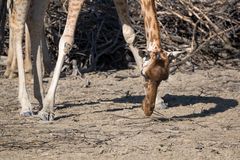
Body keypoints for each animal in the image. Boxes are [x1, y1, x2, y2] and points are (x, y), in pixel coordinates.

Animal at [11, 0, 169, 120]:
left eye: (163, 78)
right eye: (145, 75)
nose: (148, 109)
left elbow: (129, 35)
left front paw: (159, 100)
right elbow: (66, 41)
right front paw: (47, 111)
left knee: (34, 19)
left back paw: (40, 98)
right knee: (17, 21)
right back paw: (26, 106)